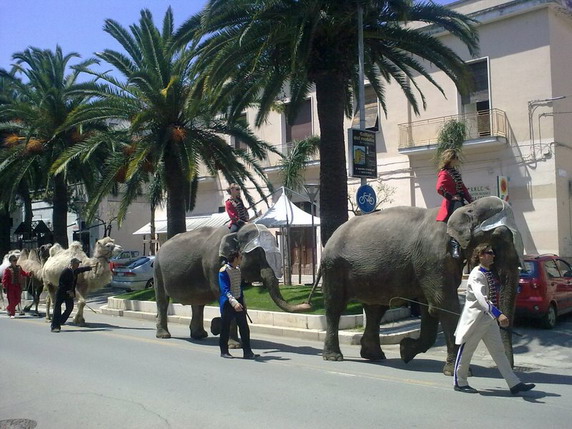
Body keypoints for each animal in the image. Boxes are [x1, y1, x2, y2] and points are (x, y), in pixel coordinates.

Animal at [154, 222, 310, 340]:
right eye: (257, 253)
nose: (308, 304)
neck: (236, 232)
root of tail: (159, 247)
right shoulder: (214, 266)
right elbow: (226, 297)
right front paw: (234, 345)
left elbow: (238, 298)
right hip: (158, 269)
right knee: (162, 301)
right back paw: (164, 335)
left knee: (198, 304)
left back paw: (200, 335)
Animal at [322, 196, 524, 372]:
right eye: (498, 237)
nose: (505, 368)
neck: (464, 207)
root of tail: (330, 238)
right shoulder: (433, 258)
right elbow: (444, 304)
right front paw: (456, 371)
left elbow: (430, 308)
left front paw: (405, 351)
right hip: (333, 268)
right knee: (335, 307)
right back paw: (334, 357)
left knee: (375, 310)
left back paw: (374, 355)